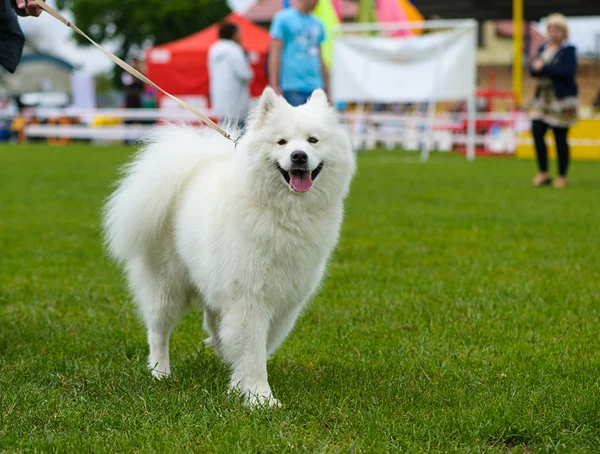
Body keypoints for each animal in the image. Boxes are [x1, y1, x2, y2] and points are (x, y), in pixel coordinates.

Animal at [103, 87, 356, 406]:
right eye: (282, 142)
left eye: (313, 140)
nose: (298, 156)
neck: (284, 213)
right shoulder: (249, 297)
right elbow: (253, 352)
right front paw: (261, 399)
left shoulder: (286, 302)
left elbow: (261, 345)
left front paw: (239, 386)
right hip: (166, 288)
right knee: (158, 332)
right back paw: (160, 372)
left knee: (213, 322)